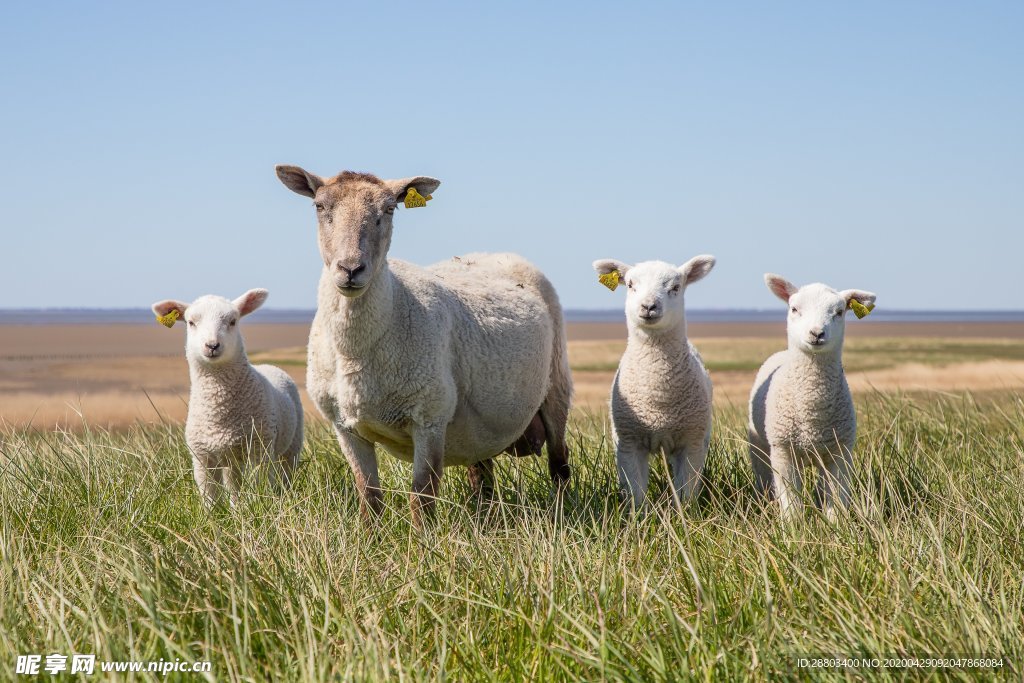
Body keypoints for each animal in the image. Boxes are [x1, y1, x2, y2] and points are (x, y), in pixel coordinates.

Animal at [150, 288, 303, 507]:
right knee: (234, 484)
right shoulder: (202, 457)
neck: (219, 411)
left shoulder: (259, 448)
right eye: (191, 322)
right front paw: (213, 514)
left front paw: (259, 505)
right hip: (231, 457)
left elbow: (259, 485)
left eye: (232, 321)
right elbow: (209, 495)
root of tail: (268, 365)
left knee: (285, 473)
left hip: (291, 445)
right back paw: (236, 507)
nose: (212, 345)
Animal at [276, 163, 573, 524]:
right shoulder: (344, 426)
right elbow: (368, 495)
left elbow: (422, 494)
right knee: (482, 474)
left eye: (389, 209)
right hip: (479, 426)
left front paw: (423, 539)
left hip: (556, 385)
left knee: (559, 463)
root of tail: (493, 253)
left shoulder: (429, 417)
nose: (350, 269)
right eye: (320, 206)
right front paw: (370, 536)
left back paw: (562, 515)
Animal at [593, 254, 712, 507]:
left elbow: (686, 493)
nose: (648, 306)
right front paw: (639, 516)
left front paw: (685, 515)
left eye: (676, 287)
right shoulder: (628, 443)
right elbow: (635, 494)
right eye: (630, 285)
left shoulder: (692, 442)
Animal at [745, 274, 880, 520]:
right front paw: (793, 527)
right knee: (764, 477)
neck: (812, 410)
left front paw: (836, 526)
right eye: (794, 308)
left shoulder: (840, 452)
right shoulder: (783, 452)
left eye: (839, 312)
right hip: (759, 445)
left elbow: (835, 498)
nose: (816, 333)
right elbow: (790, 502)